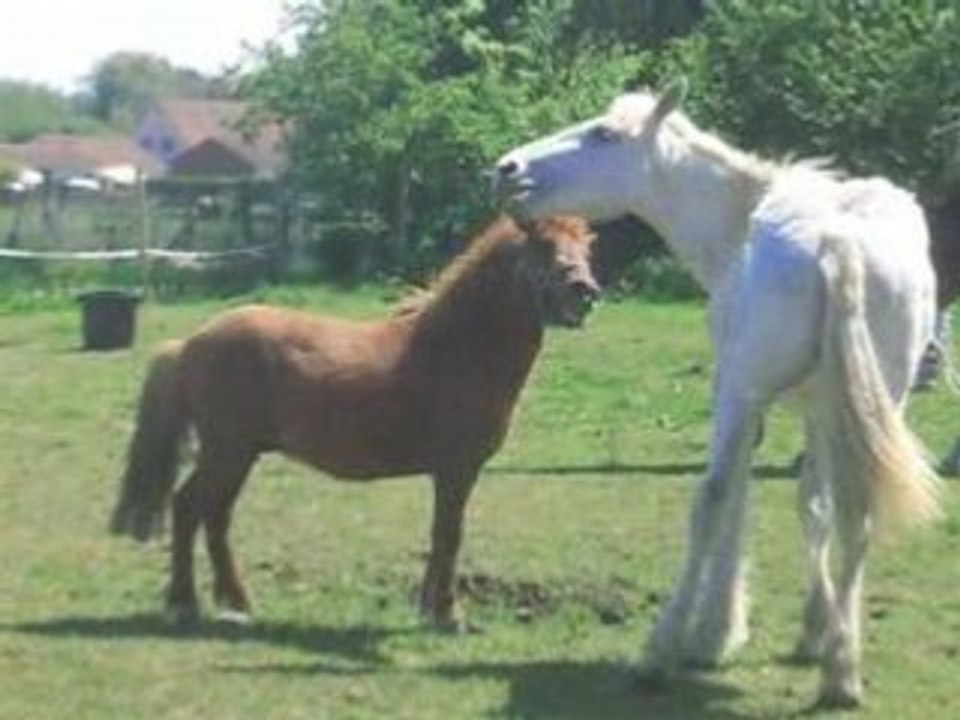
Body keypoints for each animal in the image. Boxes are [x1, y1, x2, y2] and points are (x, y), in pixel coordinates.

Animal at [109, 215, 600, 630]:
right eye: (542, 246)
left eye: (585, 247)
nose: (584, 289)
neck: (457, 348)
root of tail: (191, 343)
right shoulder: (456, 471)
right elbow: (449, 536)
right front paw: (447, 615)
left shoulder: (450, 474)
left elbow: (439, 537)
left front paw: (428, 608)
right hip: (227, 453)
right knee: (188, 508)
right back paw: (185, 603)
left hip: (238, 456)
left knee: (215, 517)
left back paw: (238, 603)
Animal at [493, 86, 942, 708]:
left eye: (606, 134)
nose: (507, 169)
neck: (740, 220)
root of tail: (838, 243)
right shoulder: (823, 410)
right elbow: (816, 506)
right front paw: (816, 630)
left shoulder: (741, 395)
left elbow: (734, 500)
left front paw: (715, 632)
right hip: (883, 403)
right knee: (858, 514)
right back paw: (841, 673)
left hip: (743, 391)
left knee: (712, 499)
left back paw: (661, 652)